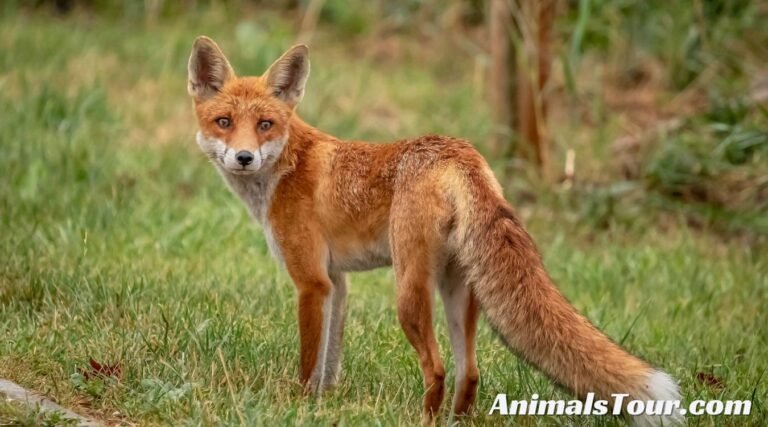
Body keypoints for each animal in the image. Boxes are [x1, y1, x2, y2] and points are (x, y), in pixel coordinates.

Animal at [186, 36, 682, 425]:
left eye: (265, 124)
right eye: (224, 123)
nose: (244, 157)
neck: (286, 168)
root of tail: (459, 152)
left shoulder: (311, 282)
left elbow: (310, 362)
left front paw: (301, 406)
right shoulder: (336, 282)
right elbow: (330, 360)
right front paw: (324, 405)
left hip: (409, 293)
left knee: (438, 369)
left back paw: (424, 418)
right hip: (458, 291)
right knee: (470, 372)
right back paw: (457, 419)